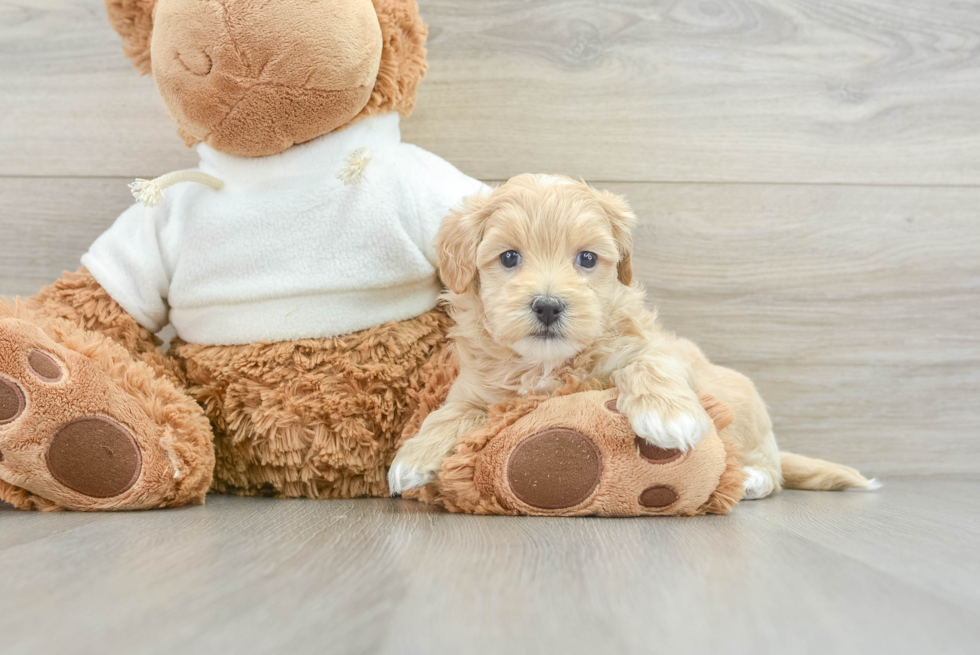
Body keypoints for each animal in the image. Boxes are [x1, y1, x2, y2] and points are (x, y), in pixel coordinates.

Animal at [386, 174, 876, 498]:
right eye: (509, 257)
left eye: (587, 258)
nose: (548, 305)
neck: (547, 364)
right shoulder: (476, 389)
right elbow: (451, 414)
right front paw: (414, 457)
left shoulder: (654, 349)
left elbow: (648, 363)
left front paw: (667, 417)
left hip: (744, 405)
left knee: (769, 470)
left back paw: (751, 479)